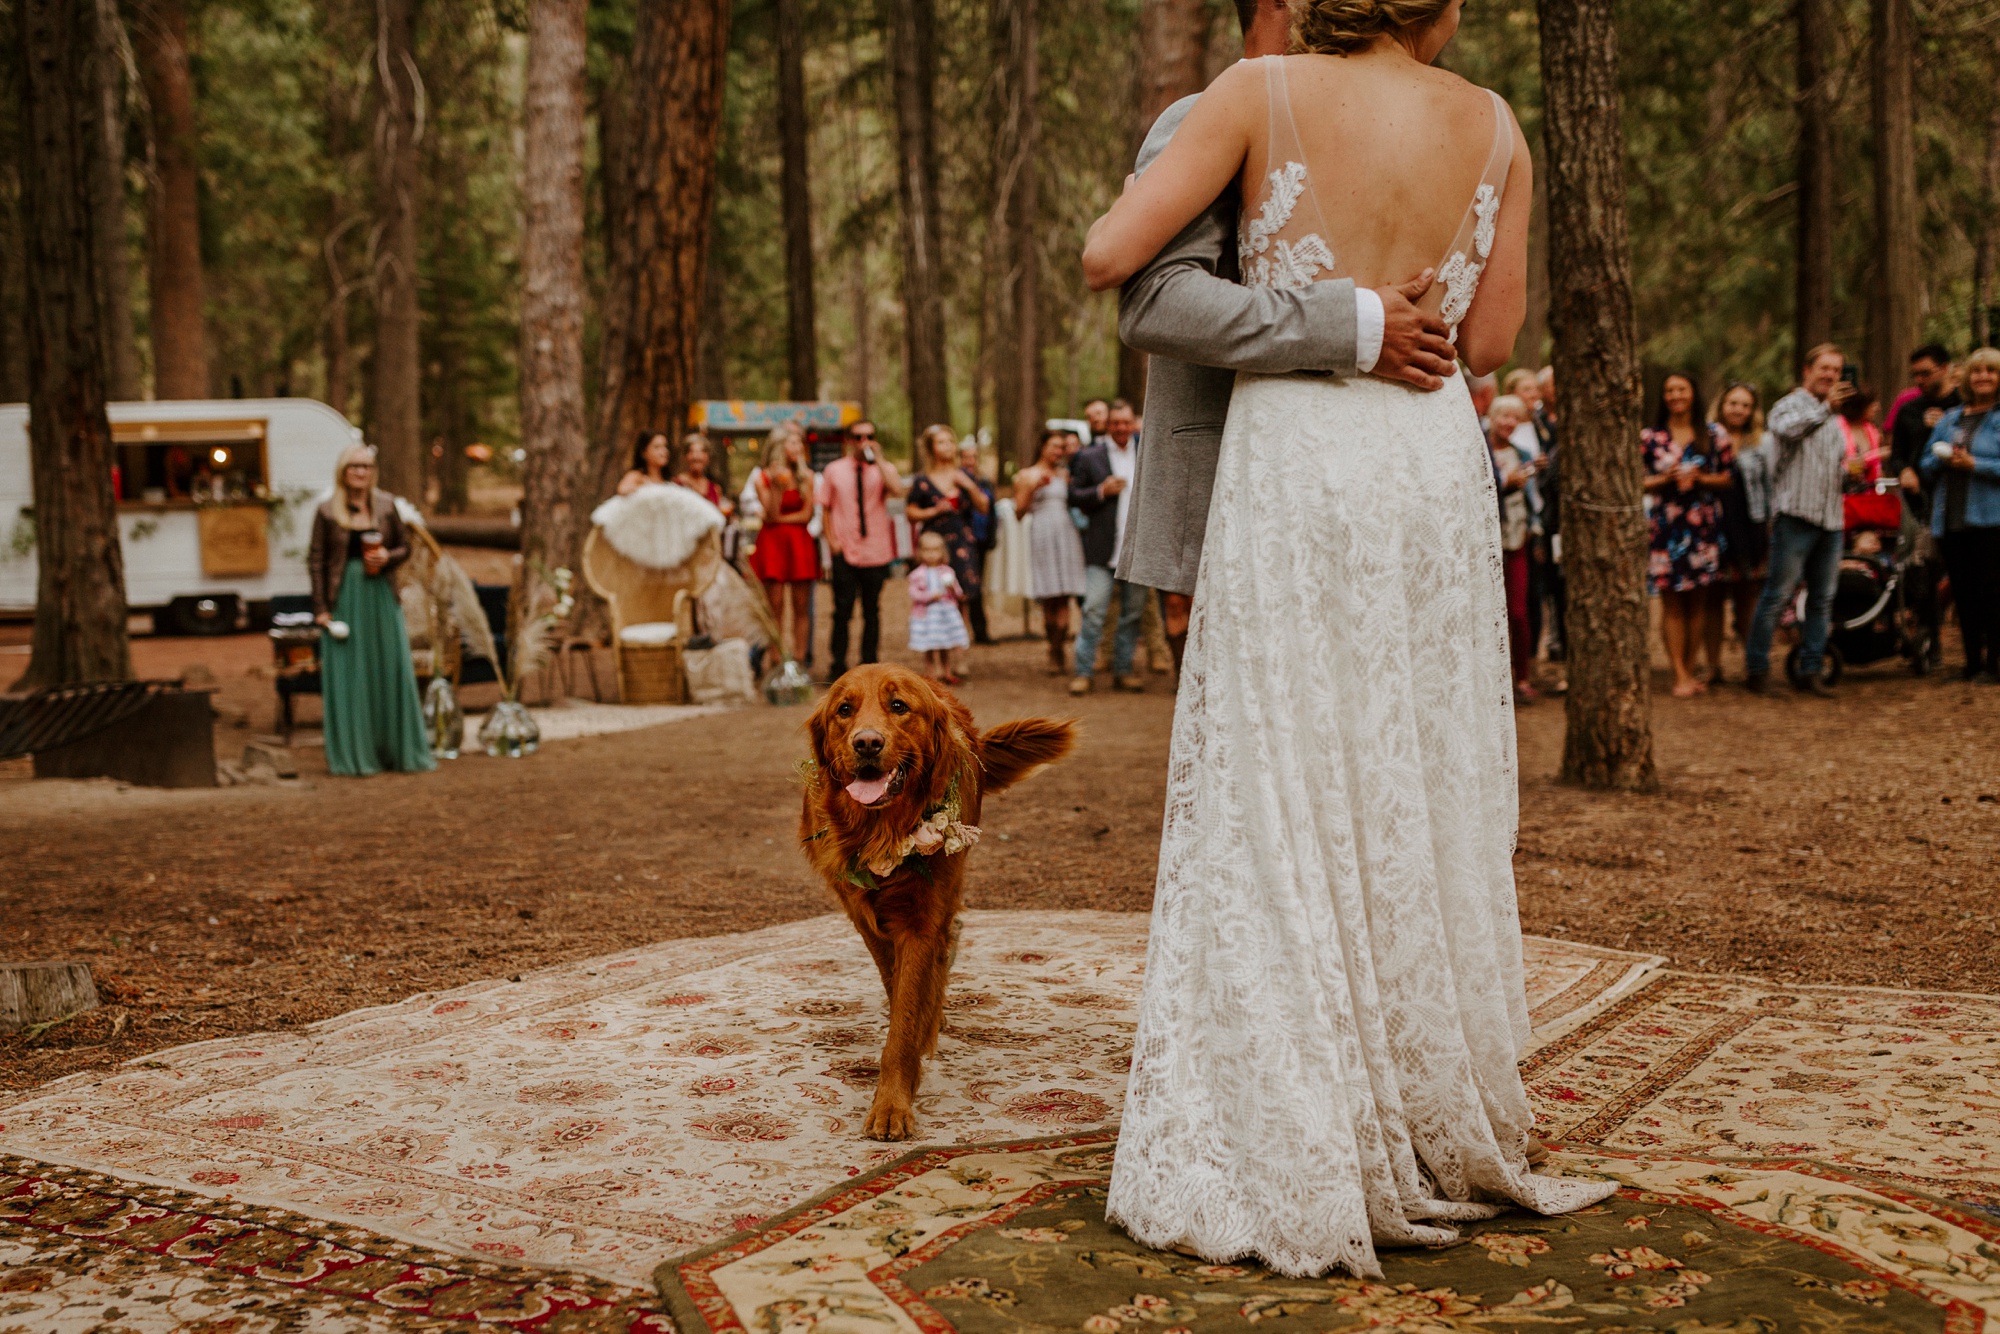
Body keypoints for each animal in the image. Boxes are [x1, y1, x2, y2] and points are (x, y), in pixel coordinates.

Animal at [800, 664, 1080, 1136]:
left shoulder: (922, 919)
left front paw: (892, 1103)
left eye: (898, 705)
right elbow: (894, 983)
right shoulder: (864, 915)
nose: (867, 742)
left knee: (947, 946)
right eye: (844, 710)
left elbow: (906, 1016)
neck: (883, 829)